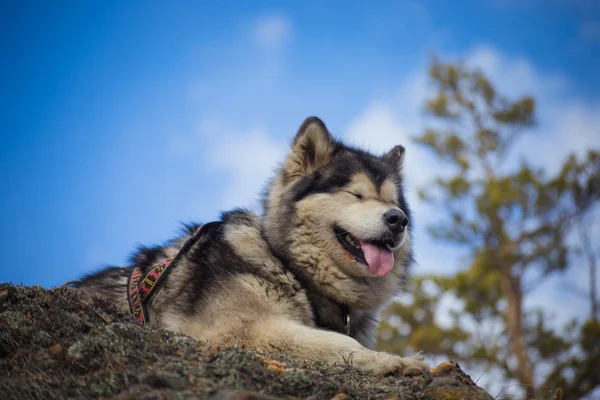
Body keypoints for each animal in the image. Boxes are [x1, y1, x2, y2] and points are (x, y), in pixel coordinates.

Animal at [72, 115, 428, 376]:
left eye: (393, 202)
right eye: (356, 194)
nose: (398, 220)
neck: (289, 265)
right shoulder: (245, 330)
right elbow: (338, 342)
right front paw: (394, 361)